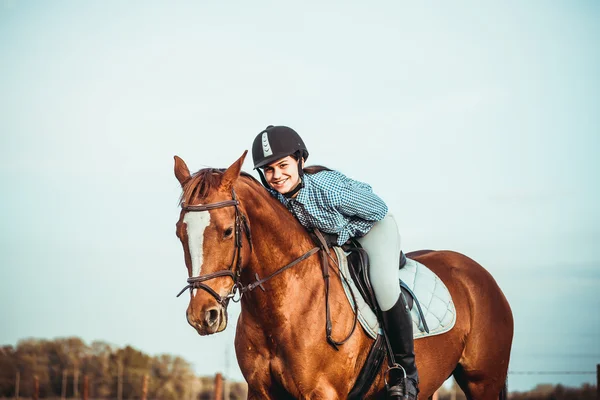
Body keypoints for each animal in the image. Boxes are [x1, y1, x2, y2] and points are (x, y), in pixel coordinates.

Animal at [175, 152, 516, 398]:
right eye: (179, 233)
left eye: (227, 231)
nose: (202, 316)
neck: (283, 306)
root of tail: (480, 276)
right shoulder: (260, 392)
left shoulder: (322, 392)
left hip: (483, 381)